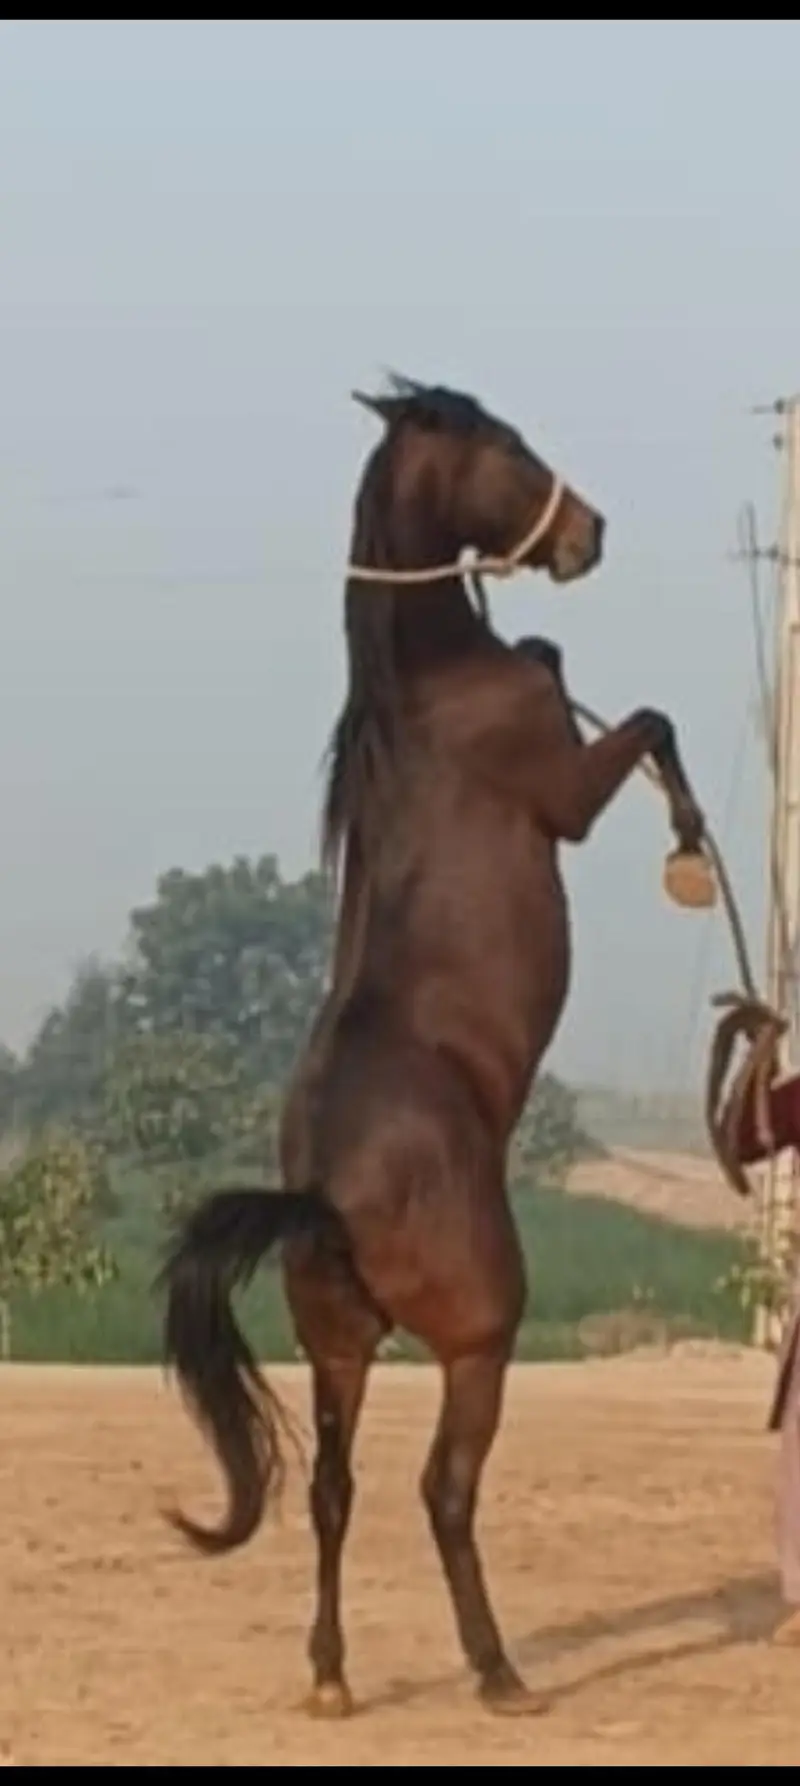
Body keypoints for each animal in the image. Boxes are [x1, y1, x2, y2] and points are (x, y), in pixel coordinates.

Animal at [160, 374, 706, 1719]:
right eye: (504, 444)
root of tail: (318, 1195)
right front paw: (689, 854)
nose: (587, 533)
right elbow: (649, 721)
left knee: (331, 1490)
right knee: (441, 1491)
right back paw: (497, 1667)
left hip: (337, 1350)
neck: (435, 686)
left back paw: (329, 1678)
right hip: (477, 1338)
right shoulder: (565, 788)